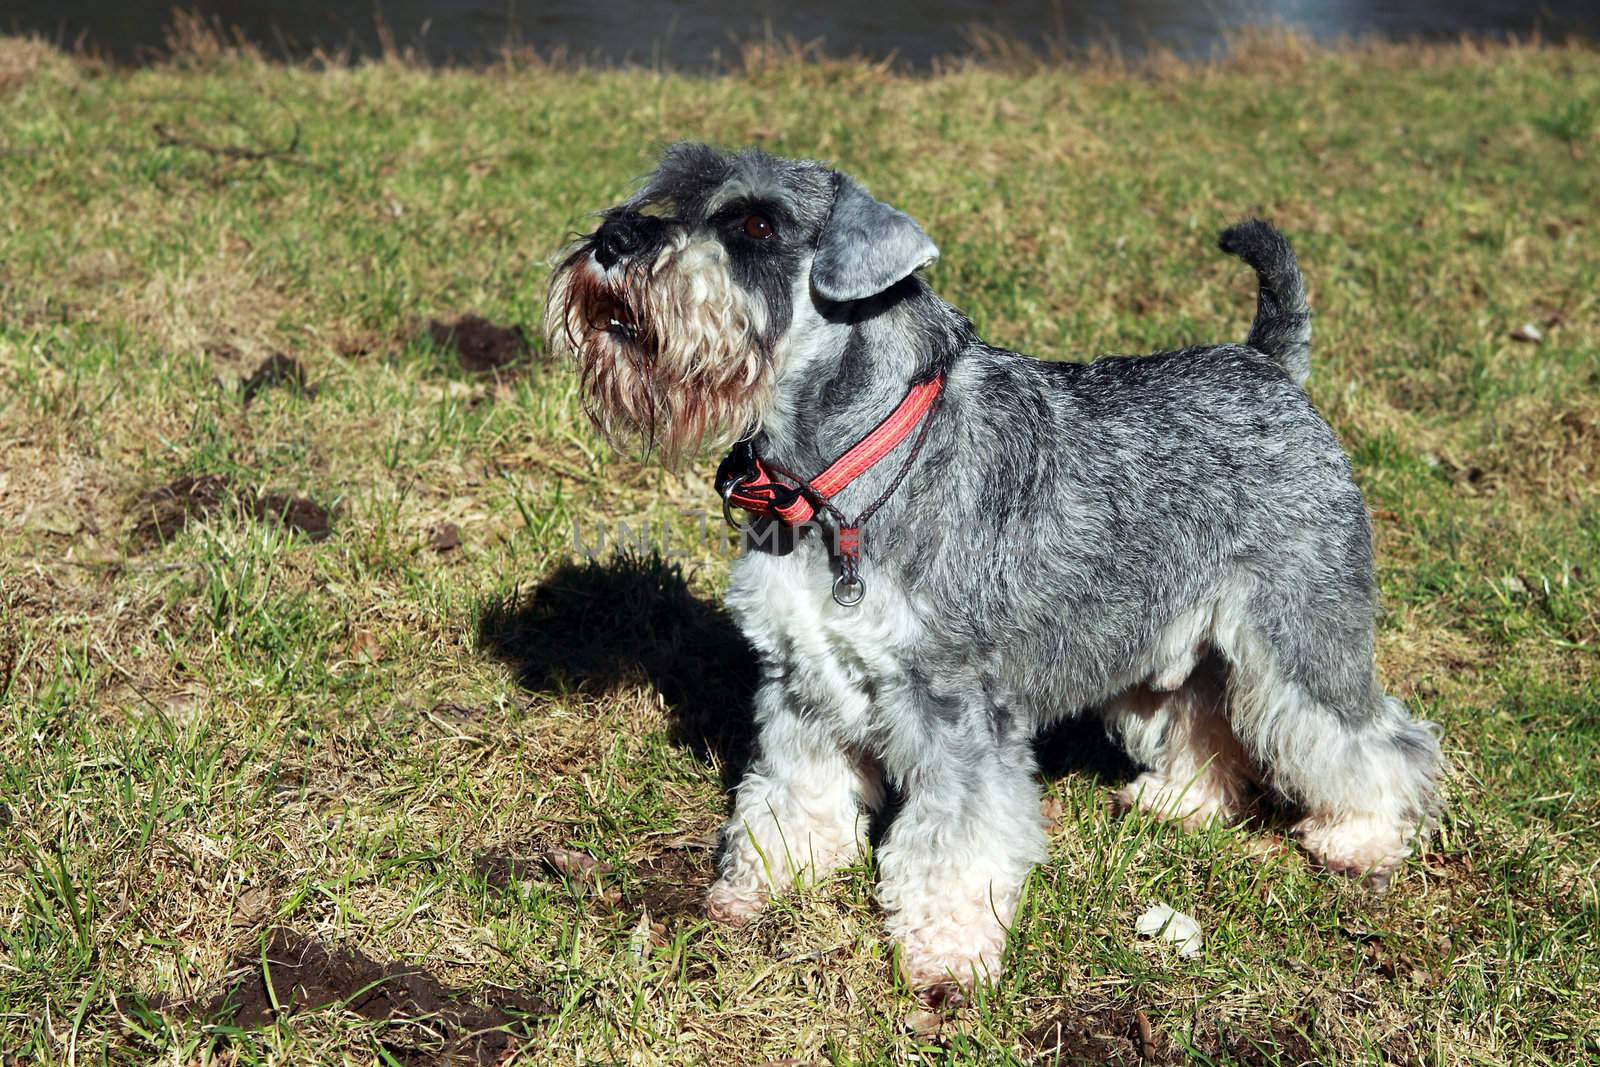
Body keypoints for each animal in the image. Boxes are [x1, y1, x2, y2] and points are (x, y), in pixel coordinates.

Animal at [544, 143, 1446, 1004]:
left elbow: (954, 839)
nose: (614, 238)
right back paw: (1181, 800)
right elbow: (792, 794)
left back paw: (1360, 837)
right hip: (1162, 639)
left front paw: (945, 957)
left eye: (757, 226)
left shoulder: (957, 712)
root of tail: (1269, 367)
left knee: (1370, 736)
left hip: (1301, 632)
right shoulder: (803, 686)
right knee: (1201, 713)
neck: (847, 471)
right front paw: (761, 884)